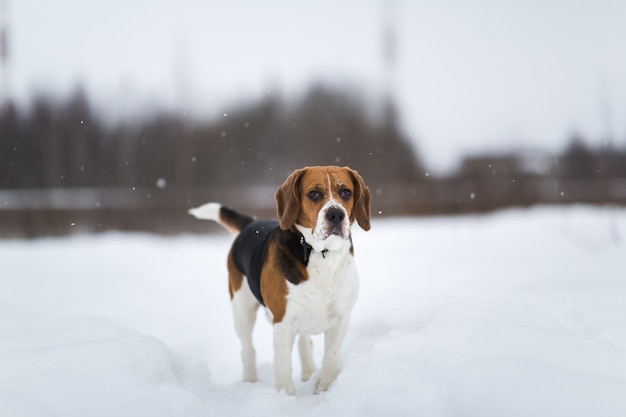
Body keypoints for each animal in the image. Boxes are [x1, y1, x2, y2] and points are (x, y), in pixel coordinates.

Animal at [188, 164, 368, 392]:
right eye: (314, 194)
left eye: (346, 192)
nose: (336, 214)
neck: (320, 254)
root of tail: (250, 223)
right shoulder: (282, 322)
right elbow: (283, 366)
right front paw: (286, 396)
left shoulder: (341, 319)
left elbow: (331, 358)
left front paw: (324, 389)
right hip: (242, 310)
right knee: (247, 348)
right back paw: (250, 381)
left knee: (304, 341)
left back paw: (308, 372)